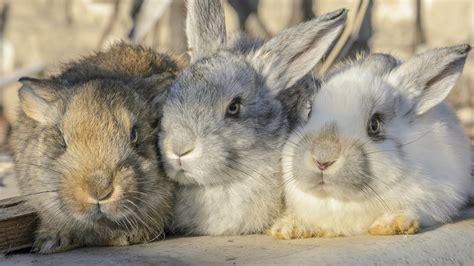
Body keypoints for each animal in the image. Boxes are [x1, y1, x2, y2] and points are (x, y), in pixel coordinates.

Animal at [272, 44, 472, 238]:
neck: (339, 200)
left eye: (374, 125)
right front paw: (289, 228)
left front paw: (392, 225)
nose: (322, 159)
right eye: (310, 111)